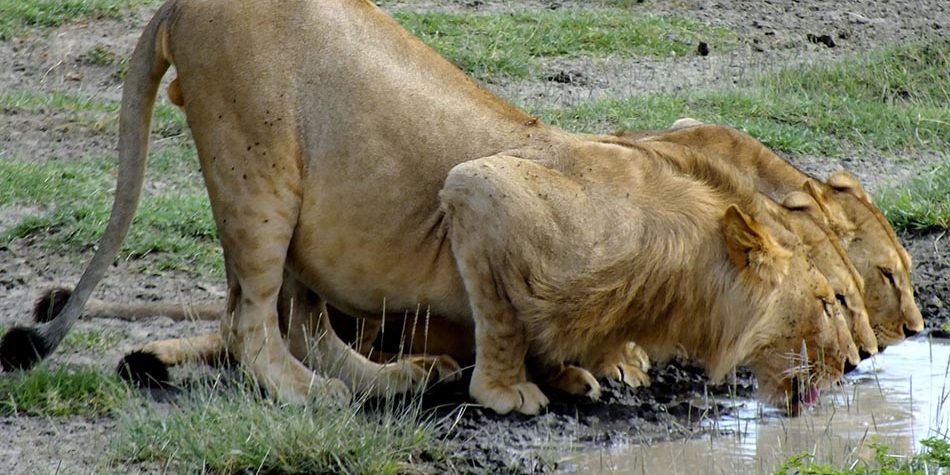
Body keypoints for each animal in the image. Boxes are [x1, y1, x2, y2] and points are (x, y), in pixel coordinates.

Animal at [0, 0, 857, 415]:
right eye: (828, 301)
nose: (853, 365)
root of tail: (177, 3)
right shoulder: (478, 192)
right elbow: (501, 315)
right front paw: (510, 392)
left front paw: (576, 372)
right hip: (258, 169)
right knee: (251, 319)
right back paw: (308, 392)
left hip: (308, 204)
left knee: (302, 322)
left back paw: (393, 378)